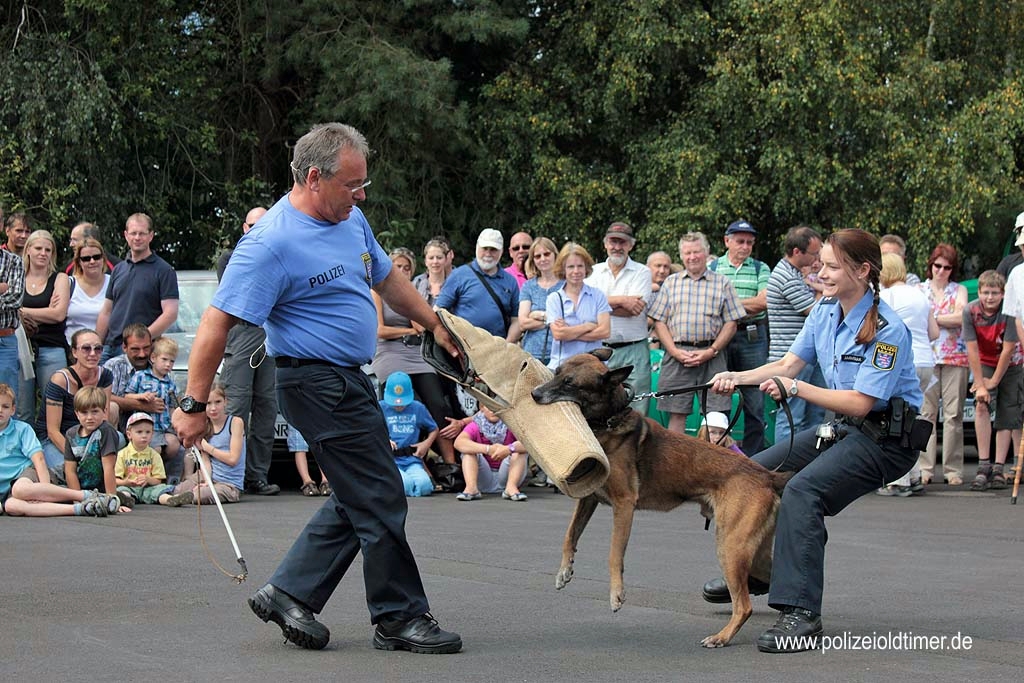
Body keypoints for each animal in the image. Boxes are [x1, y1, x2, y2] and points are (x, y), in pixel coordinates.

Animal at [532, 350, 786, 651]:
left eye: (570, 383)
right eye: (557, 372)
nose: (535, 394)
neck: (609, 420)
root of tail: (767, 475)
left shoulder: (624, 505)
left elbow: (614, 554)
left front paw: (616, 595)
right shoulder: (588, 498)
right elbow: (569, 535)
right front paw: (564, 571)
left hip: (730, 546)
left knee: (744, 605)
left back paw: (722, 637)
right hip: (751, 551)